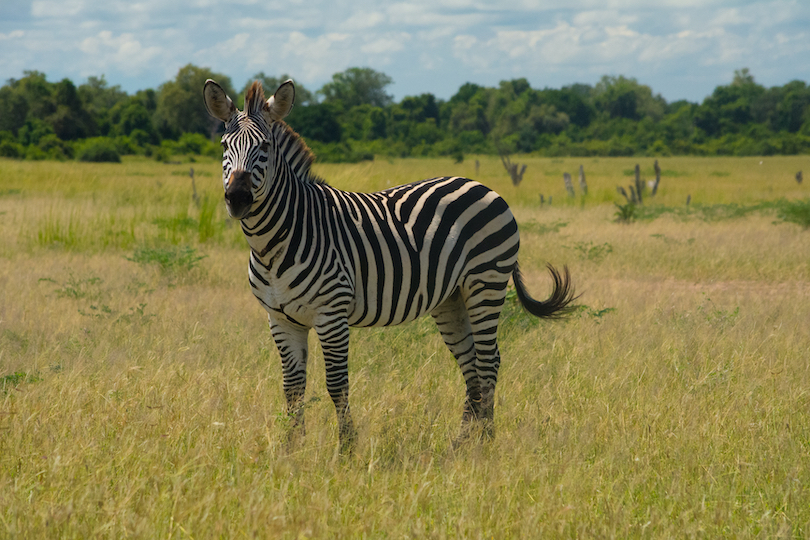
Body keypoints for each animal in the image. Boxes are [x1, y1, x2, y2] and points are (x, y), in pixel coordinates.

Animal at [205, 79, 576, 452]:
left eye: (265, 146)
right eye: (224, 146)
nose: (237, 199)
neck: (274, 244)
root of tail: (480, 185)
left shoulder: (331, 314)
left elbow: (336, 384)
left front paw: (347, 449)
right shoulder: (281, 320)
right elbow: (292, 388)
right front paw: (292, 450)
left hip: (486, 283)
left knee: (488, 362)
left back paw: (485, 442)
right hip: (451, 298)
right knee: (471, 364)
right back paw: (460, 443)